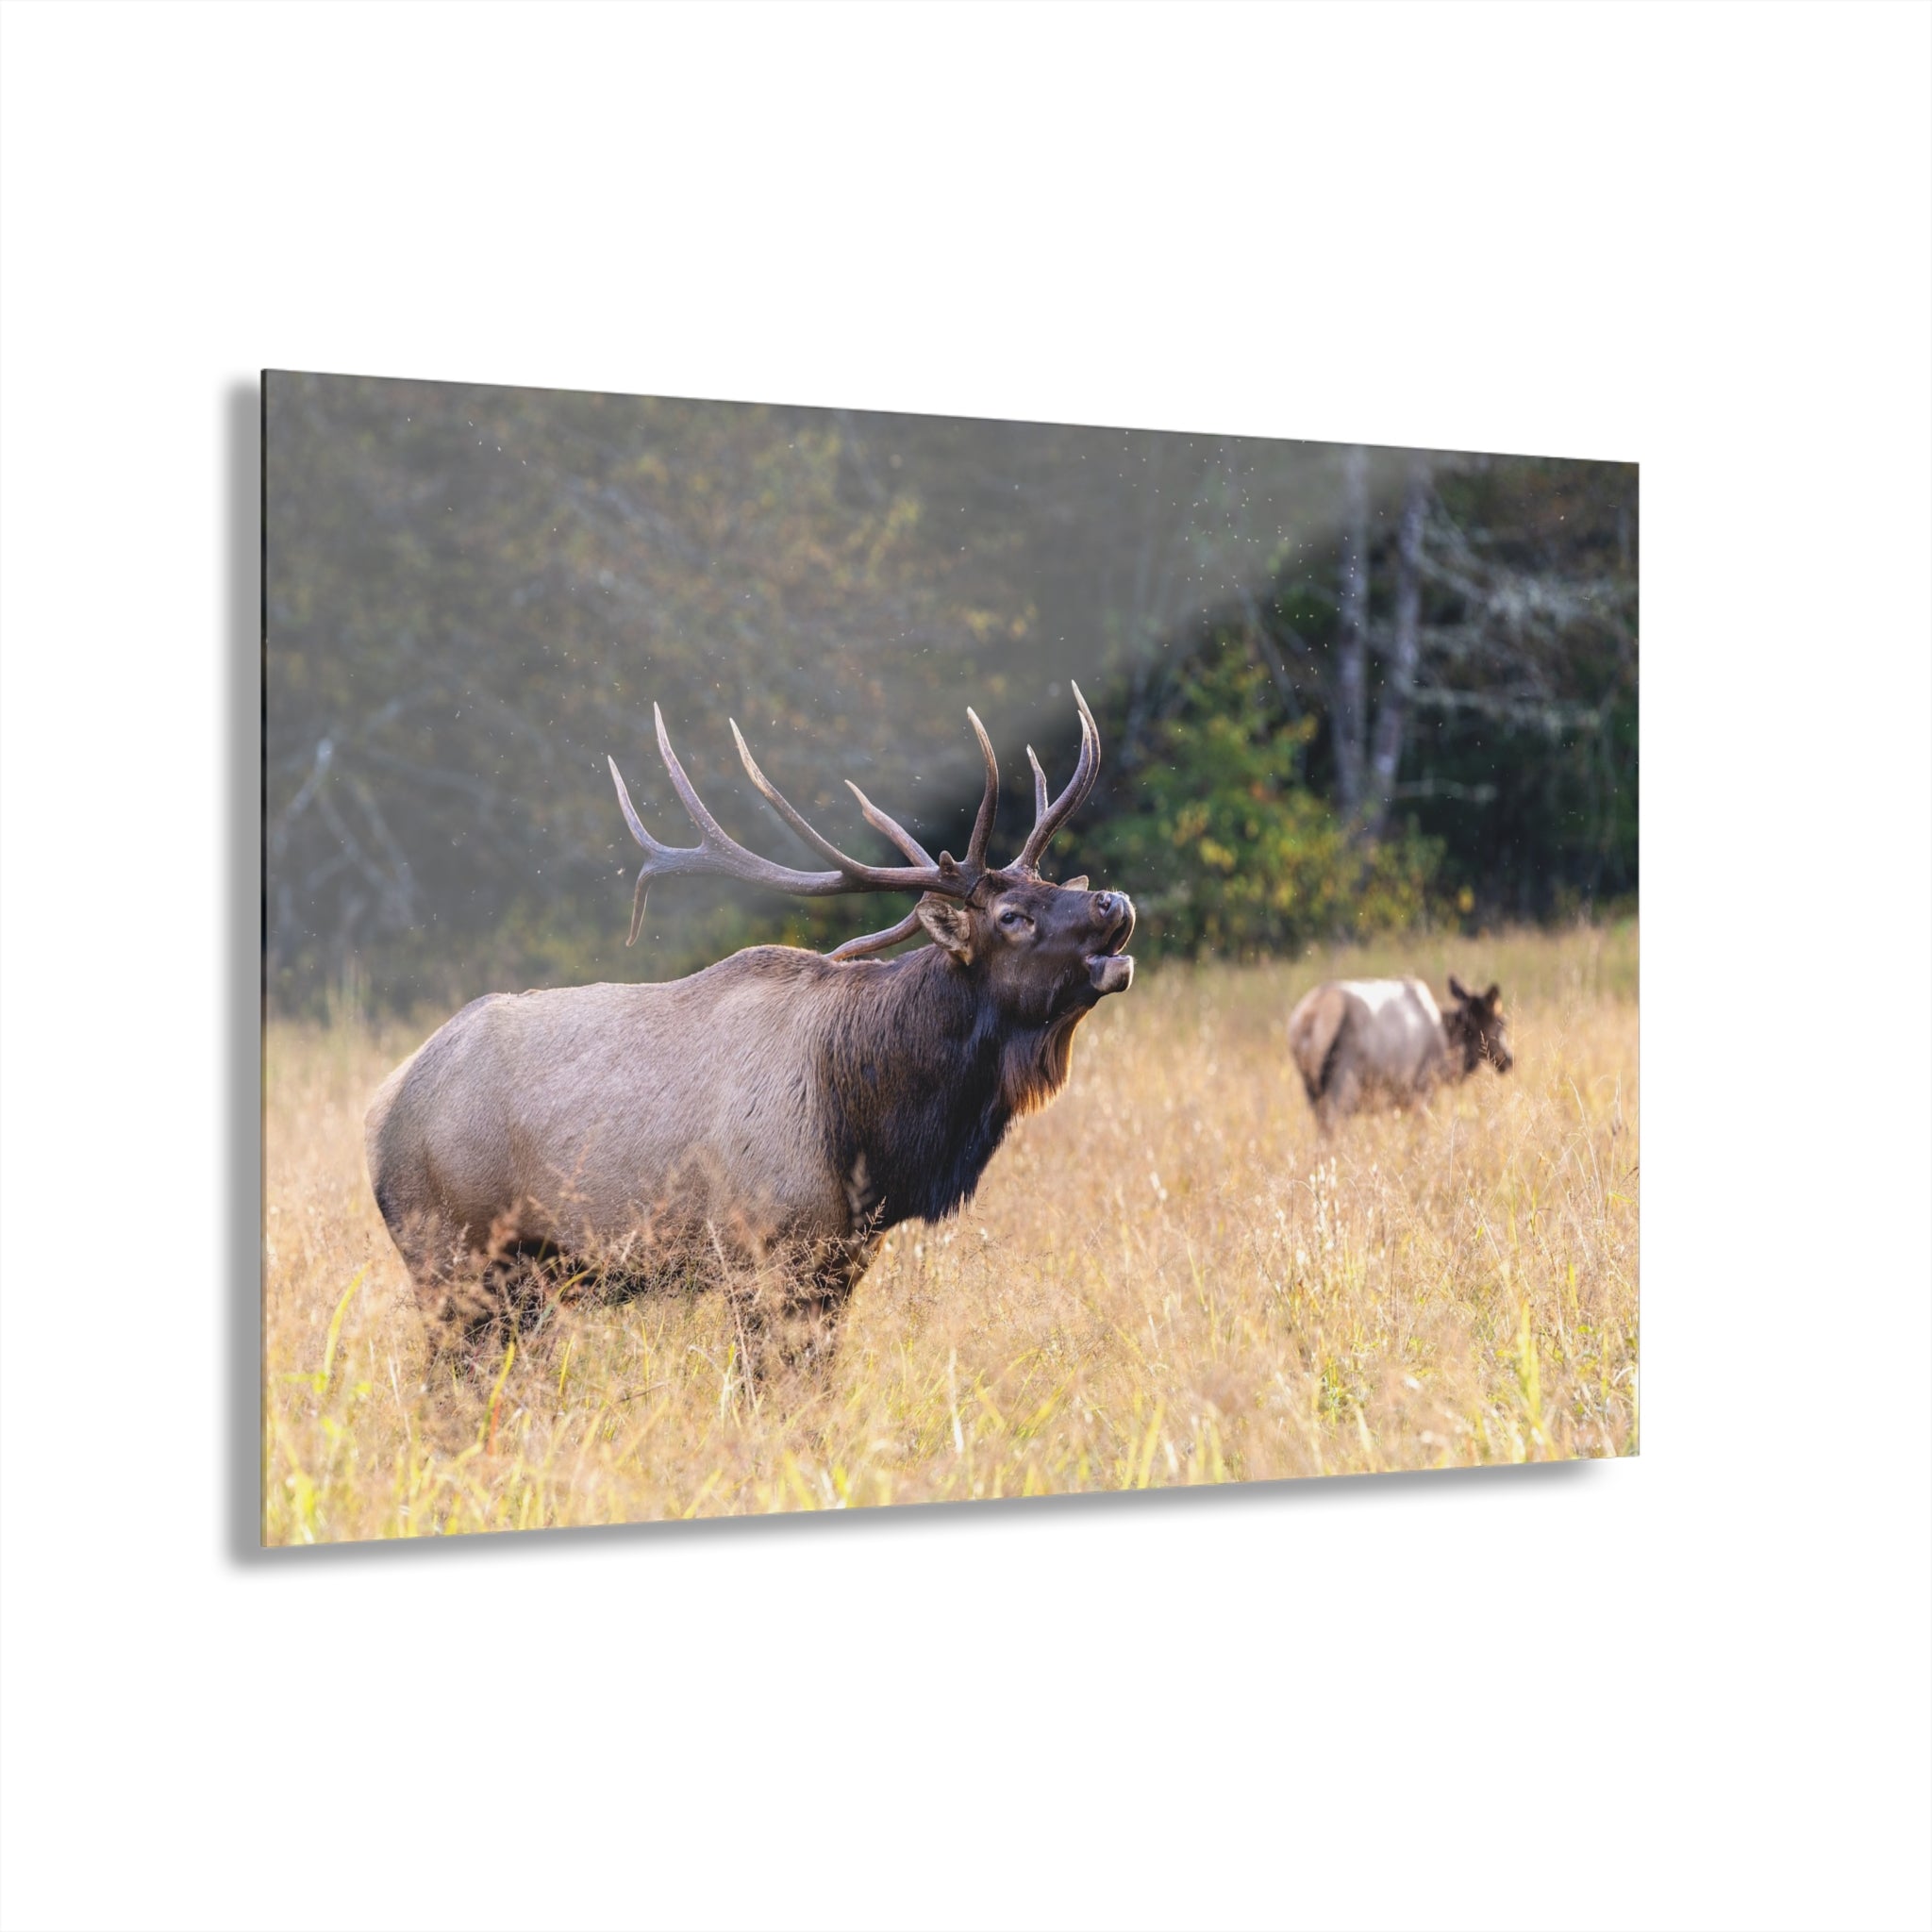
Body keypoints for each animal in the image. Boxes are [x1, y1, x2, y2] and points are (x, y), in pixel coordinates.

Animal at [364, 687, 1135, 1367]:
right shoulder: (761, 1251)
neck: (871, 1127)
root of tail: (381, 1111)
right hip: (455, 1259)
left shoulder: (840, 1262)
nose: (1113, 900)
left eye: (1055, 883)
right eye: (1012, 916)